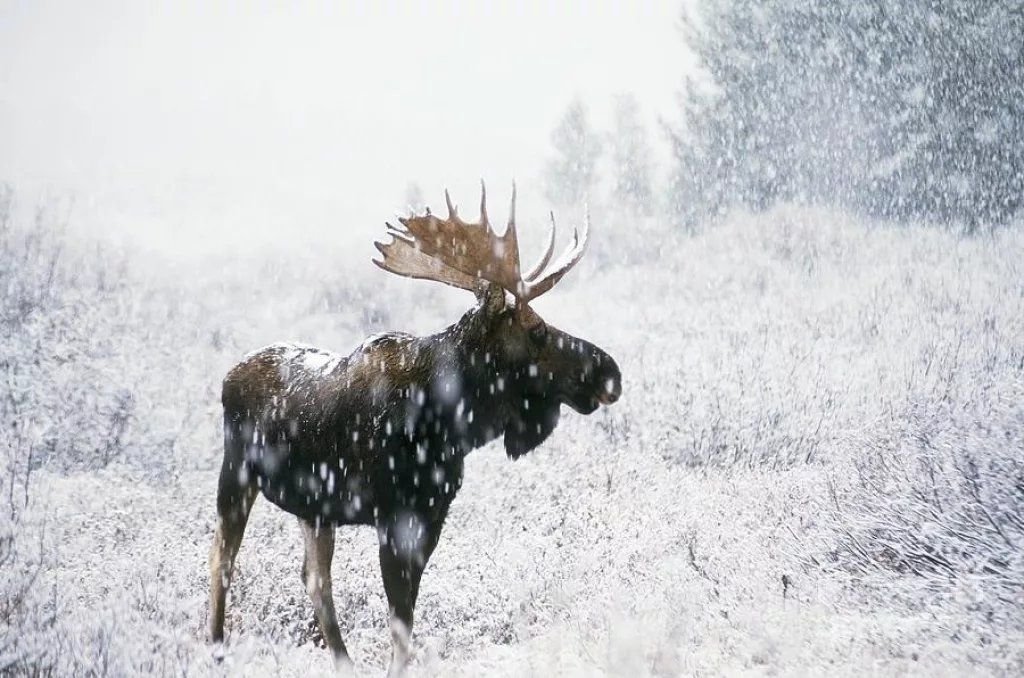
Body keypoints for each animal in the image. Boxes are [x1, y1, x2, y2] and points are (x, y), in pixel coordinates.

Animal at [206, 183, 618, 675]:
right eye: (535, 329)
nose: (609, 370)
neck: (449, 421)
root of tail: (228, 376)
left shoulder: (433, 512)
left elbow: (405, 618)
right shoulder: (393, 513)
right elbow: (400, 623)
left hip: (314, 509)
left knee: (315, 580)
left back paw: (343, 662)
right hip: (236, 475)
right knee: (222, 558)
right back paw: (215, 648)